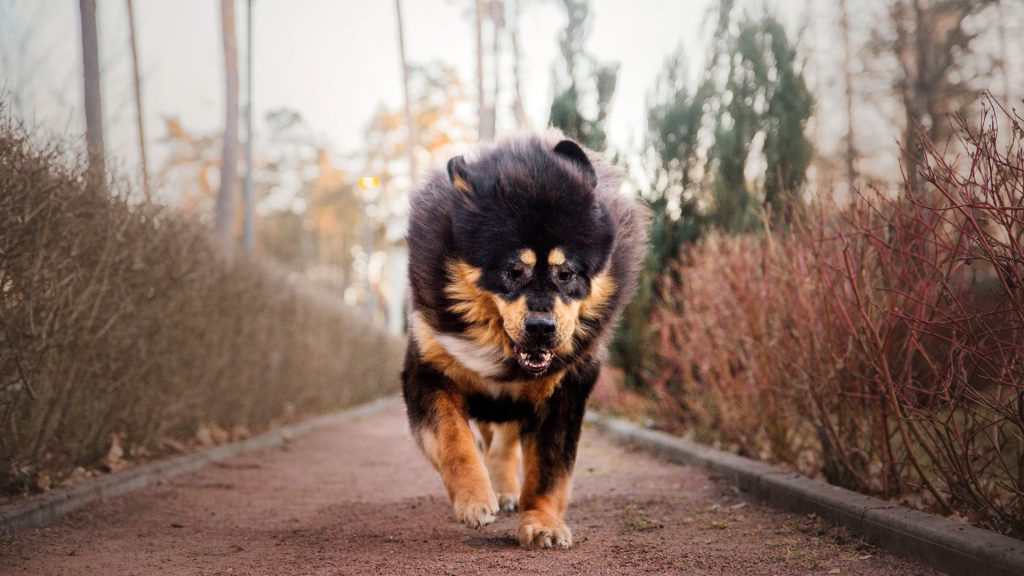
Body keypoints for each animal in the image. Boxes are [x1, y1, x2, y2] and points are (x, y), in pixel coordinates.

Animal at [403, 132, 643, 545]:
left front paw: (542, 522)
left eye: (567, 273)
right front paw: (474, 500)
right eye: (513, 271)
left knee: (504, 446)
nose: (541, 327)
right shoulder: (426, 371)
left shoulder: (564, 392)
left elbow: (549, 469)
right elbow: (454, 440)